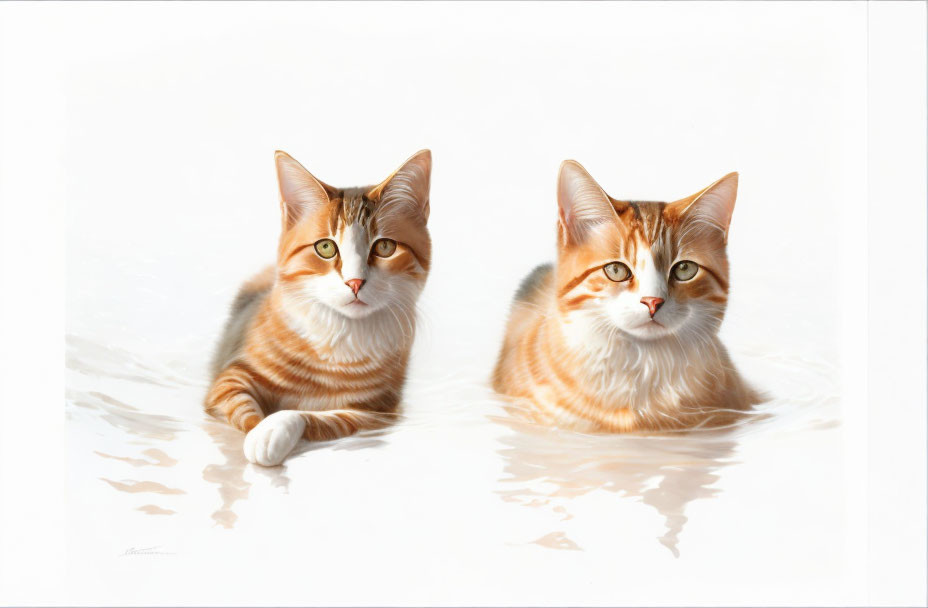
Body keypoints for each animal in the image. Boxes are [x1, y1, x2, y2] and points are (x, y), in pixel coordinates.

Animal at [207, 151, 432, 466]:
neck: (339, 343)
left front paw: (273, 429)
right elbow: (243, 407)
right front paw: (259, 430)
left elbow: (314, 417)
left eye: (385, 247)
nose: (355, 282)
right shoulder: (229, 379)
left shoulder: (374, 412)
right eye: (325, 247)